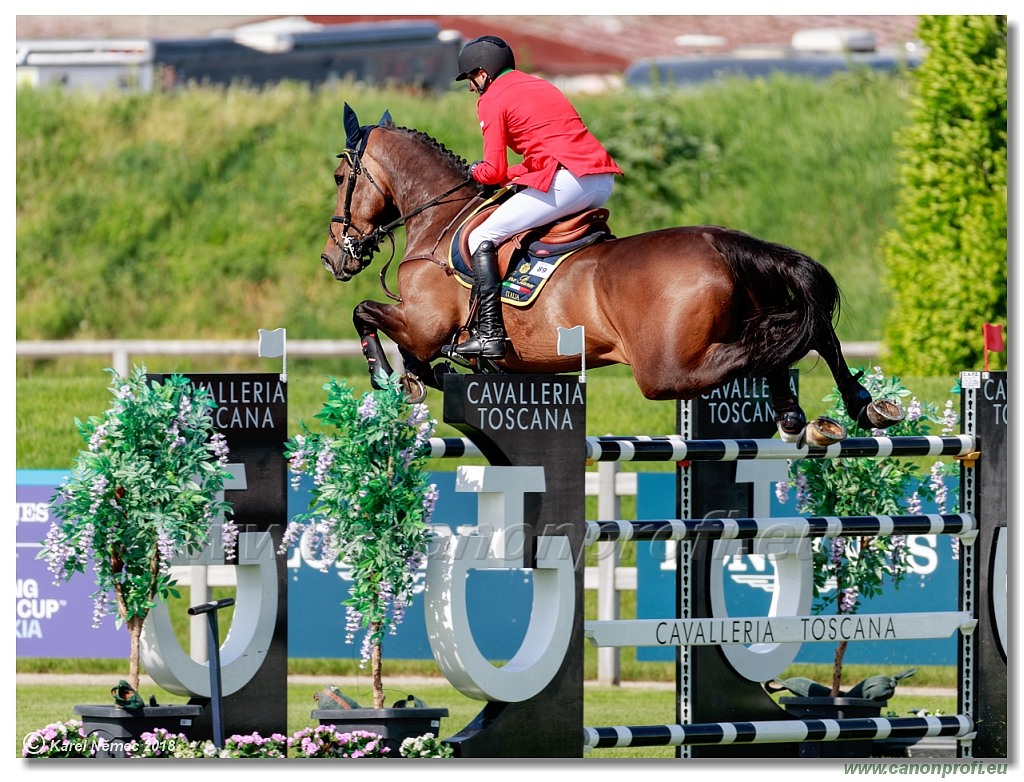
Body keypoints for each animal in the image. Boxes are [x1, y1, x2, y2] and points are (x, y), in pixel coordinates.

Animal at [319, 105, 905, 442]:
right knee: (803, 333)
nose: (333, 258)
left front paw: (389, 378)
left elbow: (365, 314)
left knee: (768, 346)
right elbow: (407, 345)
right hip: (747, 310)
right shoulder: (425, 330)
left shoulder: (423, 323)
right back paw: (850, 408)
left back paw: (808, 412)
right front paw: (421, 377)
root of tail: (724, 242)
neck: (437, 222)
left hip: (664, 369)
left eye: (341, 177)